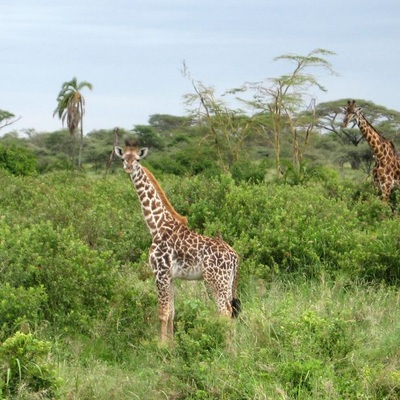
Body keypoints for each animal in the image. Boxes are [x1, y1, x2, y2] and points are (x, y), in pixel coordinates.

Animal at [114, 139, 239, 342]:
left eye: (138, 159)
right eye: (124, 157)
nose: (129, 167)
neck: (157, 225)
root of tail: (235, 257)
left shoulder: (160, 272)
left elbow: (162, 313)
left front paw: (161, 346)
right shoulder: (170, 276)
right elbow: (172, 312)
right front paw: (171, 345)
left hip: (215, 281)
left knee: (225, 312)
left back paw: (227, 347)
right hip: (228, 283)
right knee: (232, 311)